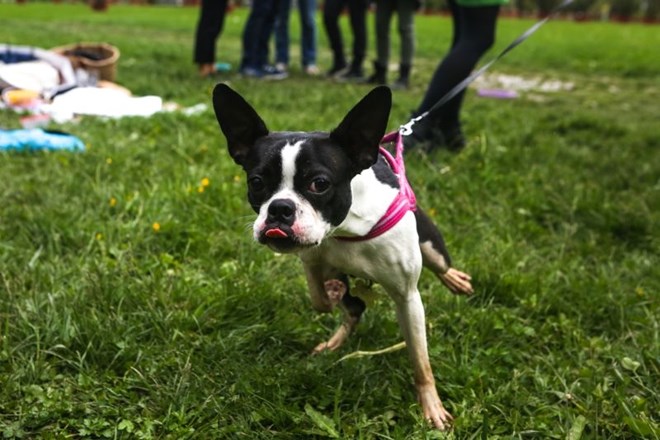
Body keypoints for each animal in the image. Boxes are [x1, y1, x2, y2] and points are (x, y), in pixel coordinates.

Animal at [211, 83, 474, 430]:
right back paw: (336, 333)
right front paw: (333, 292)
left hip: (430, 243)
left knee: (440, 265)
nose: (279, 208)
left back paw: (455, 280)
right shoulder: (311, 258)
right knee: (355, 309)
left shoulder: (407, 297)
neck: (347, 228)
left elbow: (420, 360)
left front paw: (432, 407)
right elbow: (319, 298)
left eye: (319, 183)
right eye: (256, 183)